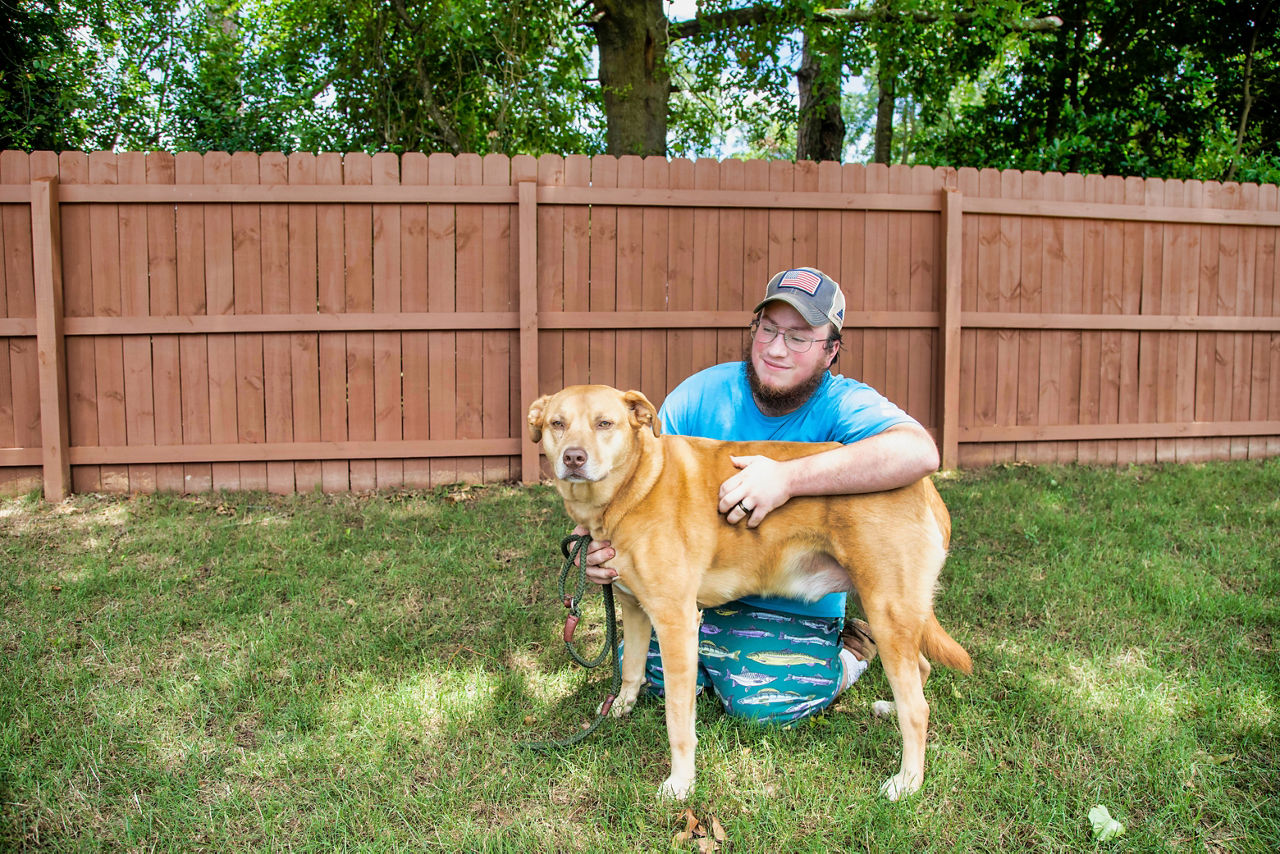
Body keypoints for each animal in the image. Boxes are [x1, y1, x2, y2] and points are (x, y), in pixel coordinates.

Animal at [527, 386, 967, 804]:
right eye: (557, 424)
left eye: (605, 423)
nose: (574, 458)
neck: (636, 485)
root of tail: (926, 488)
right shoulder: (635, 607)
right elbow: (632, 670)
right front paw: (620, 707)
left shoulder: (675, 621)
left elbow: (677, 720)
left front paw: (681, 784)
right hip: (893, 613)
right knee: (921, 673)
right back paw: (890, 711)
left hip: (886, 611)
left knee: (918, 708)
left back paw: (907, 783)